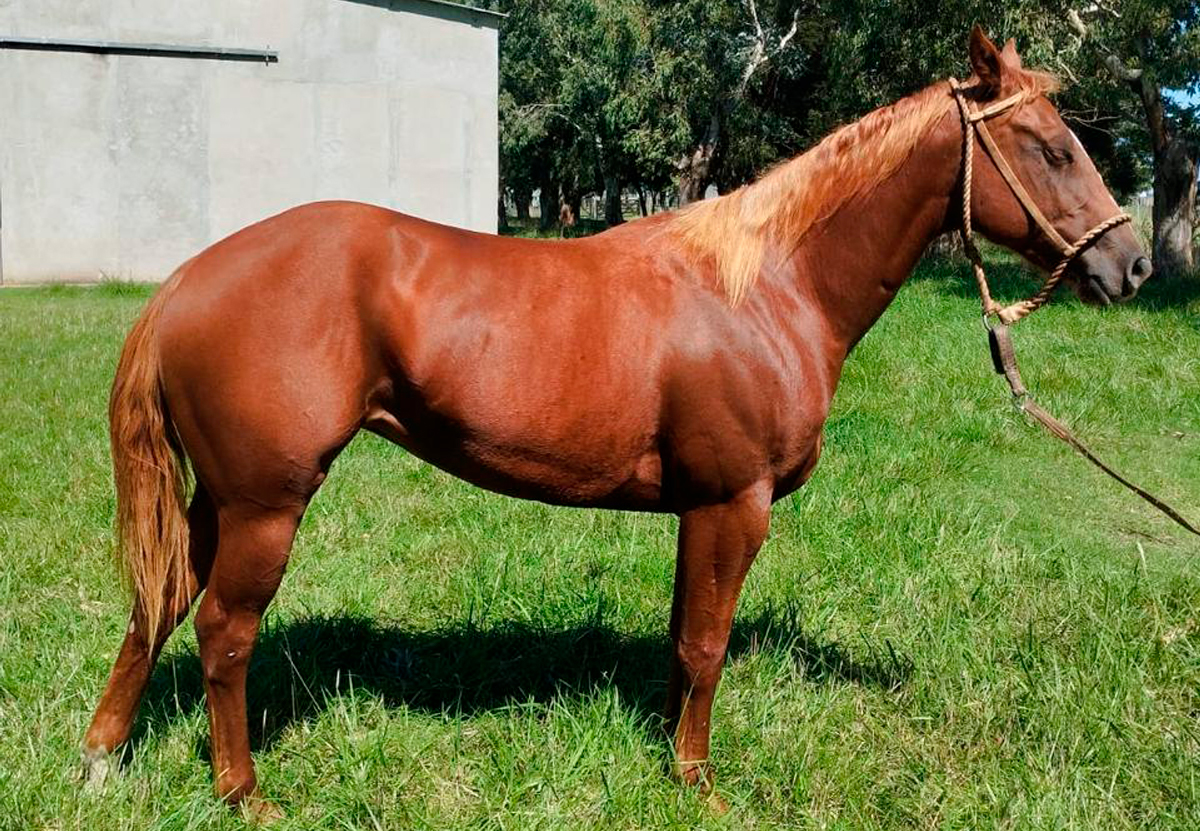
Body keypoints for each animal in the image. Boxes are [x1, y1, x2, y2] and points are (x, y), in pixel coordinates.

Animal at [82, 28, 1150, 815]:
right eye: (1053, 148)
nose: (1132, 263)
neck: (767, 286)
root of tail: (186, 280)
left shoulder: (700, 511)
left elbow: (684, 638)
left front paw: (672, 756)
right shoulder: (735, 502)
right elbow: (707, 645)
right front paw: (699, 782)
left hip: (219, 502)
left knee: (158, 603)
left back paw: (102, 755)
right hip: (266, 504)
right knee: (224, 632)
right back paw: (244, 792)